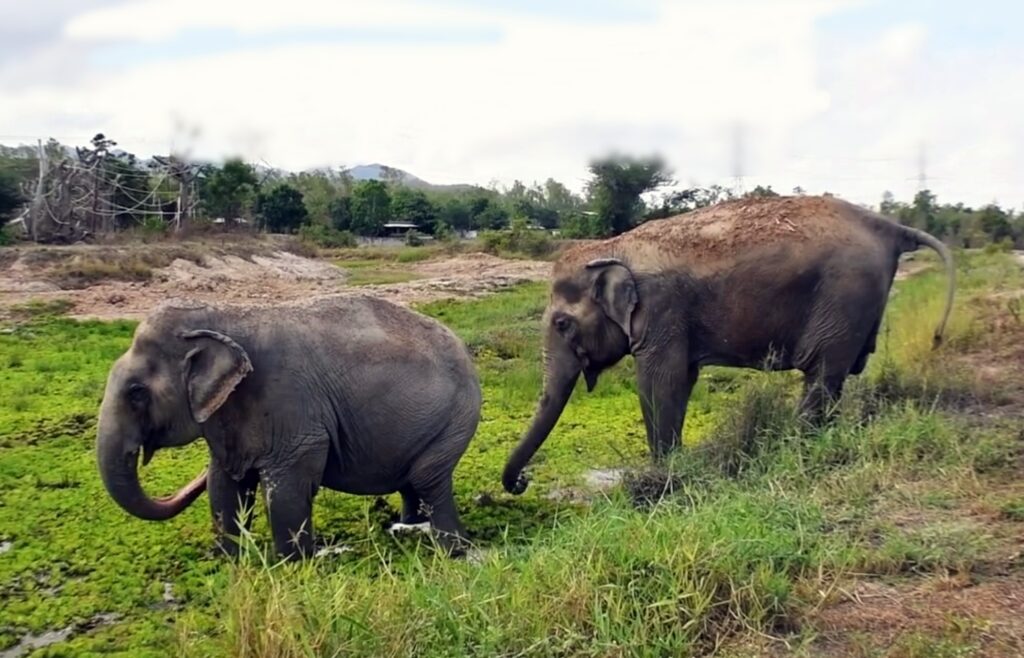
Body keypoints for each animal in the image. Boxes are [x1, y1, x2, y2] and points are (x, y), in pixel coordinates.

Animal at [96, 296, 479, 556]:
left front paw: (293, 563)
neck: (223, 316)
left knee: (429, 479)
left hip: (454, 420)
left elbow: (286, 488)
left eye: (136, 393)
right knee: (411, 481)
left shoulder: (291, 406)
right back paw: (407, 528)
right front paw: (230, 558)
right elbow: (225, 485)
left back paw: (453, 548)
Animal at [499, 195, 954, 495]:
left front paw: (662, 475)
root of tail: (890, 227)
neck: (612, 247)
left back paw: (798, 449)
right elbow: (681, 380)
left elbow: (659, 382)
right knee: (833, 377)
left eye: (562, 324)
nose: (522, 482)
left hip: (843, 295)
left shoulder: (661, 309)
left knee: (822, 374)